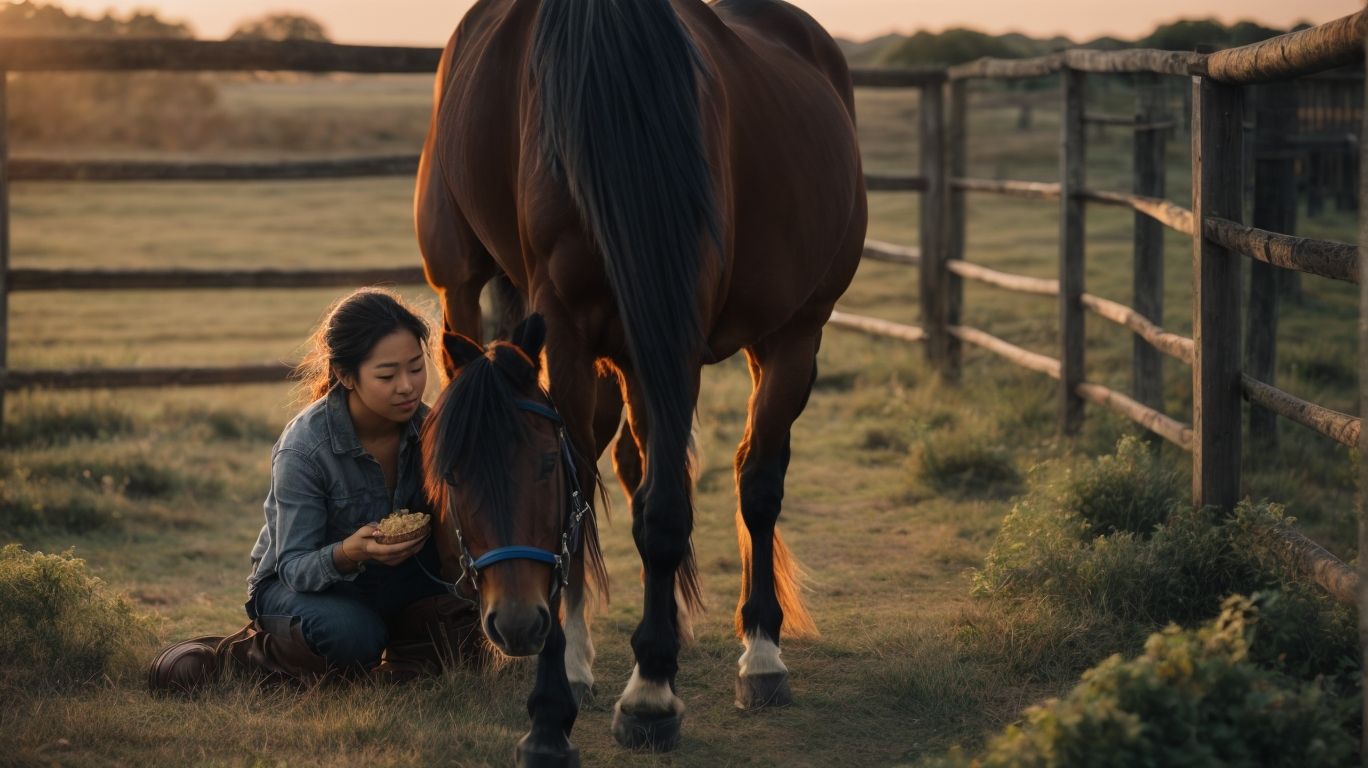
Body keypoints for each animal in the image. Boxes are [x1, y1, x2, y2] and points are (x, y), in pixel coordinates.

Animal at [416, 0, 866, 762]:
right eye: (448, 475)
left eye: (541, 467)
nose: (515, 626)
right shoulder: (570, 336)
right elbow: (586, 508)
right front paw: (552, 713)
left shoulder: (670, 343)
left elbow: (664, 513)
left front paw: (650, 693)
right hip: (480, 290)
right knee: (622, 472)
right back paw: (578, 658)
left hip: (791, 334)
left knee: (755, 481)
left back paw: (761, 654)